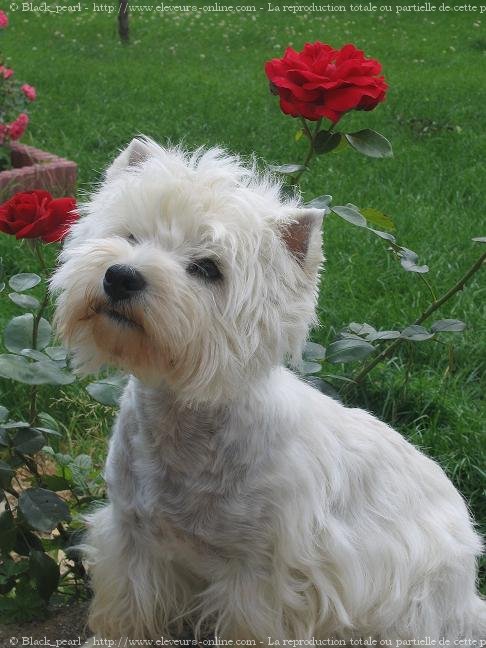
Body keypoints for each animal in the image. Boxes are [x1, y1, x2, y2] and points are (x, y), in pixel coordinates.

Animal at [51, 138, 484, 644]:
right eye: (131, 236)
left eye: (207, 268)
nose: (121, 276)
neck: (183, 423)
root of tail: (468, 590)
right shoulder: (131, 537)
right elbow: (127, 608)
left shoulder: (263, 574)